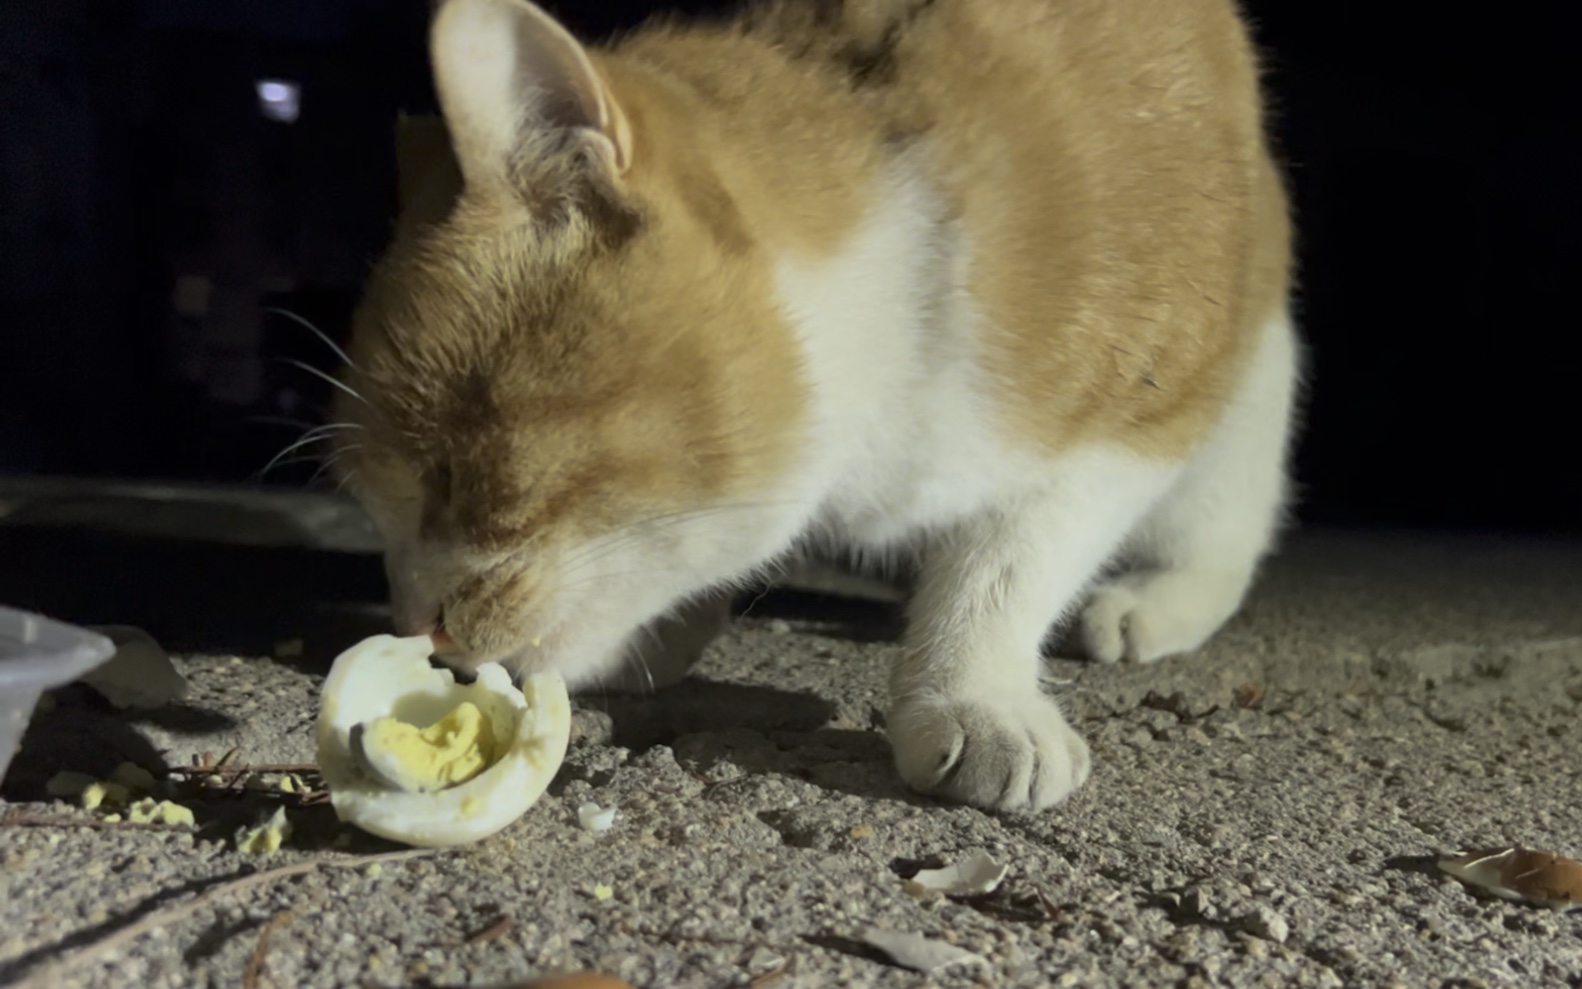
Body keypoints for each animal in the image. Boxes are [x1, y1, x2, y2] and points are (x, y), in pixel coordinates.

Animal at [333, 0, 1297, 810]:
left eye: (456, 474)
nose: (417, 626)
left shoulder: (1136, 414)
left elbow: (1012, 559)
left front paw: (976, 691)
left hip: (1252, 391)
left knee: (1223, 533)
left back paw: (1152, 602)